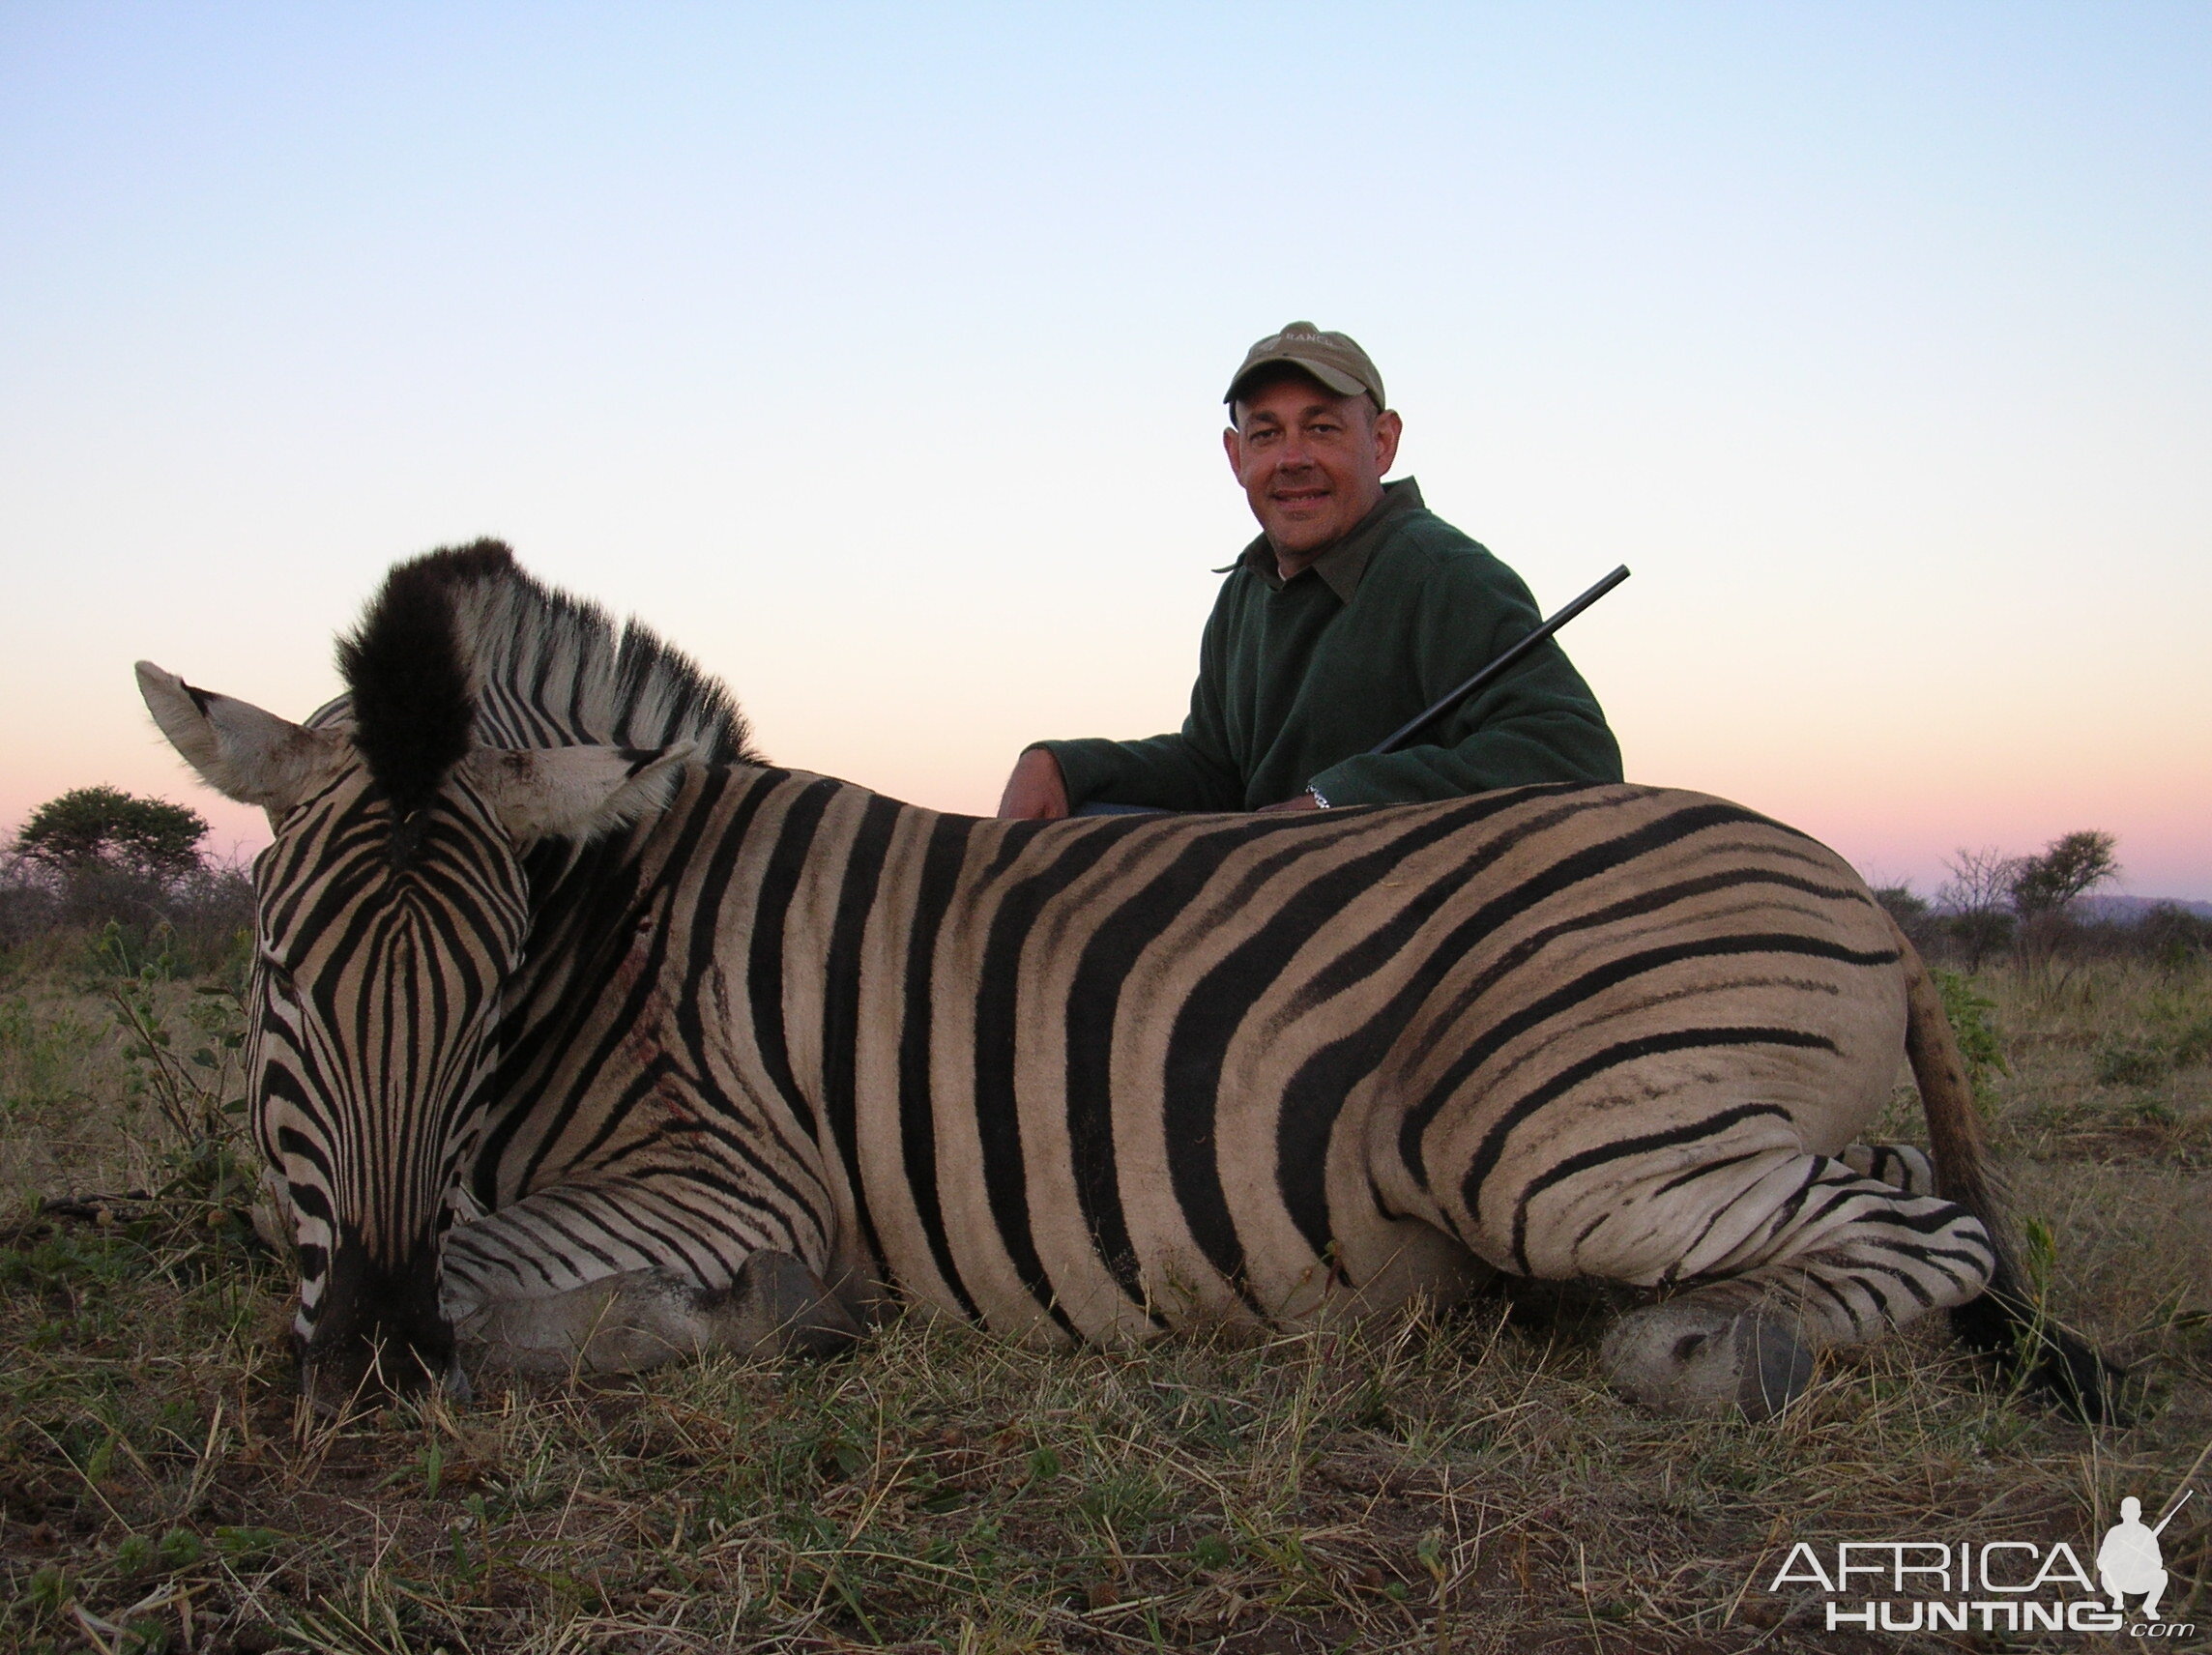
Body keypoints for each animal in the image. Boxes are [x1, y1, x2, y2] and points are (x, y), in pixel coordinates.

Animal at [138, 541, 2106, 1424]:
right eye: (280, 983)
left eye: (487, 995)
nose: (364, 1356)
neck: (619, 932)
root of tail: (1862, 893)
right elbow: (321, 1233)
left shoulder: (735, 1180)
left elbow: (492, 1273)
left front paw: (761, 1321)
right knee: (1896, 1202)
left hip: (1558, 1143)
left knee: (1922, 1229)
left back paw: (1711, 1346)